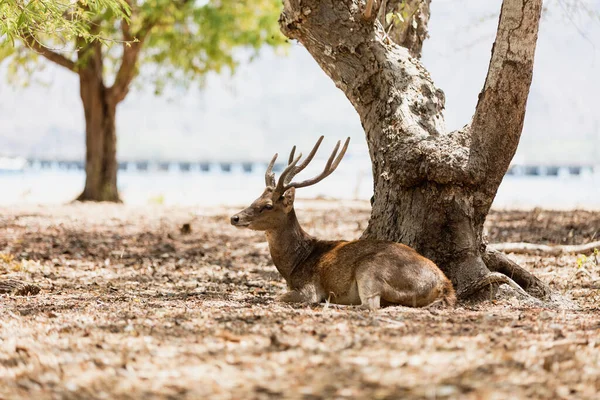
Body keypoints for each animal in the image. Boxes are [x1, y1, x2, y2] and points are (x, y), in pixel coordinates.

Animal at [230, 137, 454, 310]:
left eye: (268, 205)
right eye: (255, 199)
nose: (235, 217)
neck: (294, 266)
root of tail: (444, 284)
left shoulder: (309, 289)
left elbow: (279, 297)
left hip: (371, 270)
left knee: (370, 305)